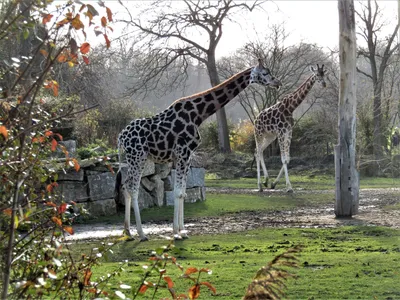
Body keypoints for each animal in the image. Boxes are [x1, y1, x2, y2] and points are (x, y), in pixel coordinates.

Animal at [255, 64, 326, 193]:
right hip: (259, 134)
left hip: (270, 136)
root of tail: (255, 119)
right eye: (317, 74)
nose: (324, 84)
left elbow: (287, 159)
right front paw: (289, 187)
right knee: (257, 153)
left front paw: (274, 183)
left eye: (324, 74)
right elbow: (283, 159)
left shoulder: (288, 131)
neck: (290, 107)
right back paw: (259, 185)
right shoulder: (281, 132)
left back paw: (266, 181)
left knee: (260, 151)